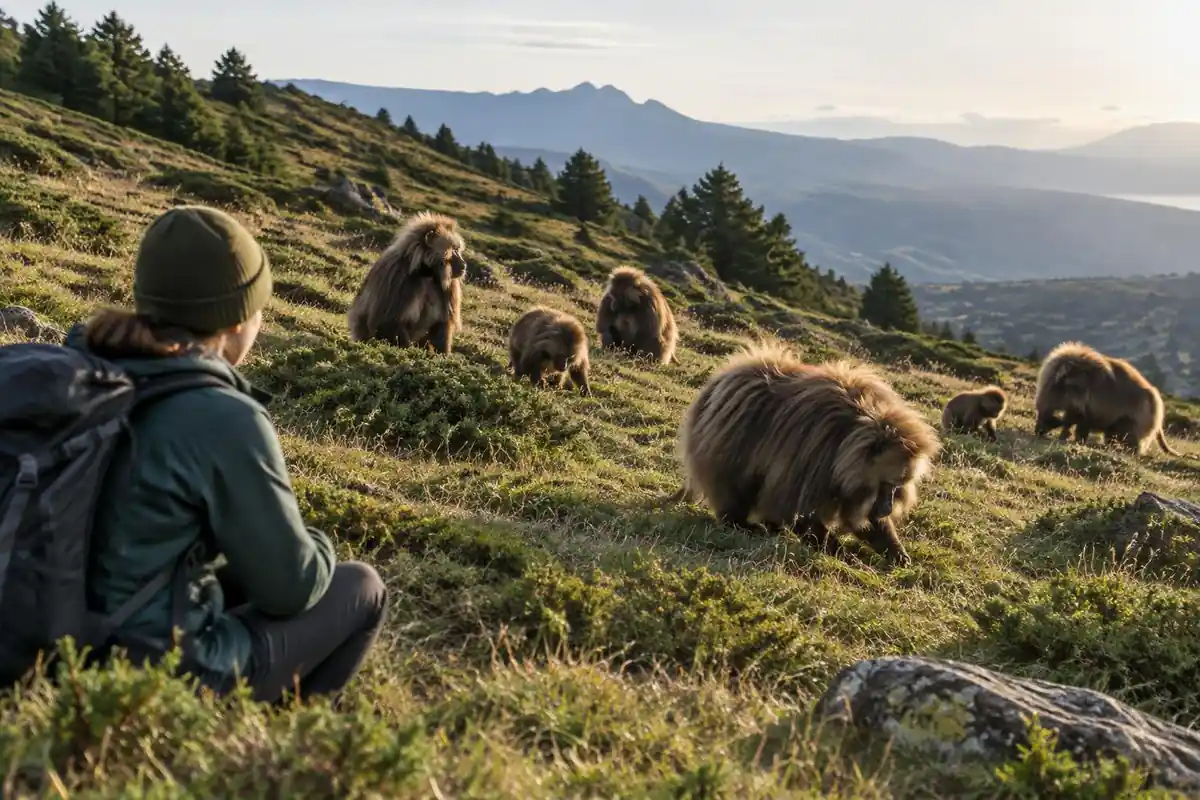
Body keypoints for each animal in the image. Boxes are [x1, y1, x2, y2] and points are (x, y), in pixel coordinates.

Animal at [347, 211, 467, 354]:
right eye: (454, 250)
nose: (464, 265)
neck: (426, 272)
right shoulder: (397, 277)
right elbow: (387, 322)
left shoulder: (449, 286)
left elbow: (443, 324)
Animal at [663, 342, 941, 566]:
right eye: (887, 484)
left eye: (897, 486)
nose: (885, 510)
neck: (852, 433)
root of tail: (720, 380)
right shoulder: (814, 452)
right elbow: (796, 506)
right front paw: (842, 554)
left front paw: (896, 552)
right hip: (730, 436)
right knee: (736, 483)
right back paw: (741, 523)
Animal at [1034, 341, 1186, 457]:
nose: (1038, 432)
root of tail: (1155, 397)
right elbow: (1072, 421)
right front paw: (1066, 436)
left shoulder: (1082, 406)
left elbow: (1077, 421)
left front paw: (1070, 438)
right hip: (1120, 424)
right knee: (1114, 433)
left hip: (1138, 419)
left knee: (1132, 437)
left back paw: (1130, 451)